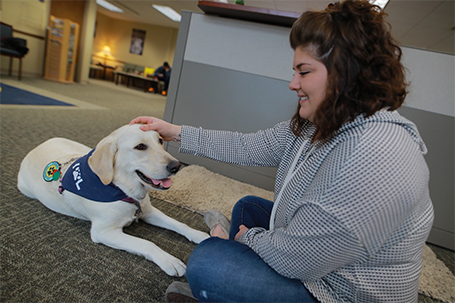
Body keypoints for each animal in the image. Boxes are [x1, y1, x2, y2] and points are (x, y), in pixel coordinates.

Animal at [17, 123, 210, 278]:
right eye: (140, 146)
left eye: (160, 141)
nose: (176, 166)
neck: (123, 191)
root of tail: (38, 145)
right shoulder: (104, 231)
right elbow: (147, 243)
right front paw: (169, 260)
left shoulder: (148, 212)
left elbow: (178, 224)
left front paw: (197, 234)